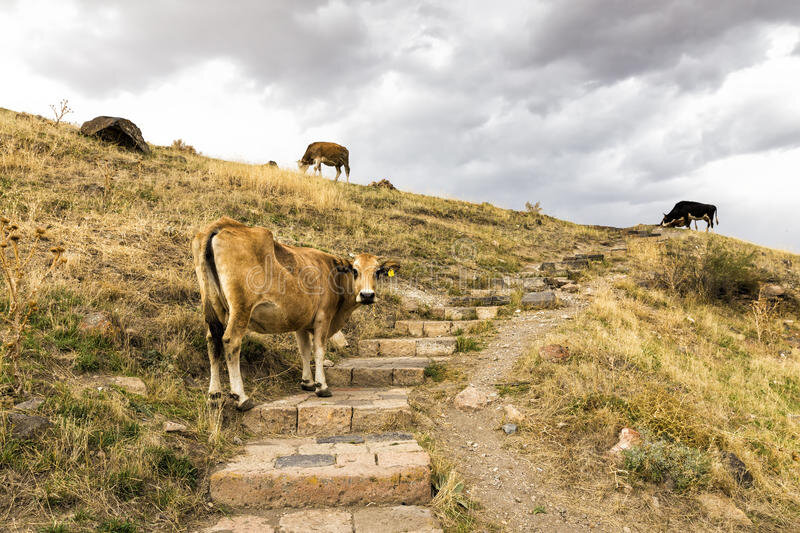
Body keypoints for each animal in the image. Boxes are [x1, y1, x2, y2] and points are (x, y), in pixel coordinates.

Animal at [191, 215, 396, 408]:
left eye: (378, 272)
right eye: (355, 270)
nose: (367, 295)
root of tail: (223, 224)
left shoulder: (301, 322)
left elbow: (304, 350)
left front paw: (307, 382)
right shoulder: (323, 316)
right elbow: (319, 349)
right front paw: (321, 386)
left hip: (212, 304)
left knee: (213, 341)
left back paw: (214, 396)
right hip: (241, 308)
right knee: (230, 341)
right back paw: (241, 398)